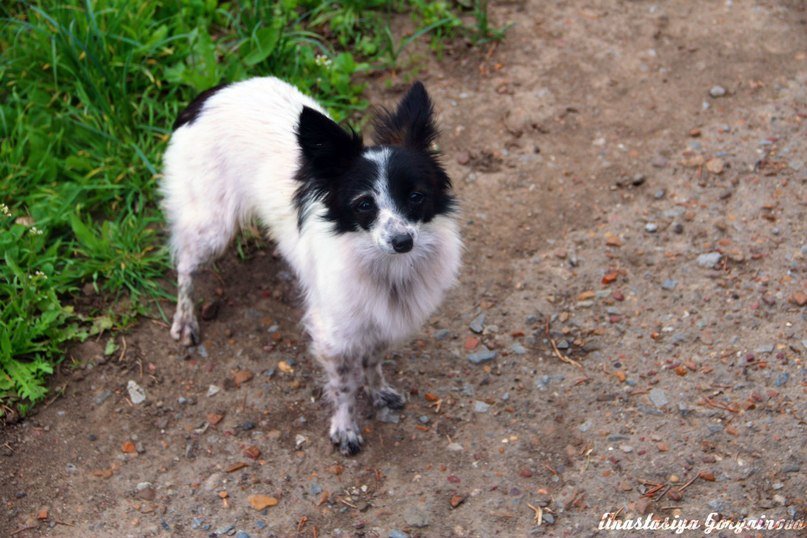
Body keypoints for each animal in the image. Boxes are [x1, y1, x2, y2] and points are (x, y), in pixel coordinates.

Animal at [161, 76, 460, 452]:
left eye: (417, 197)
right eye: (364, 205)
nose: (402, 242)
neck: (386, 269)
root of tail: (211, 93)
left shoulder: (379, 321)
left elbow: (373, 361)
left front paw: (378, 391)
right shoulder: (334, 334)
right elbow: (345, 385)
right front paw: (345, 429)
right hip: (212, 229)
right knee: (185, 265)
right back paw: (185, 320)